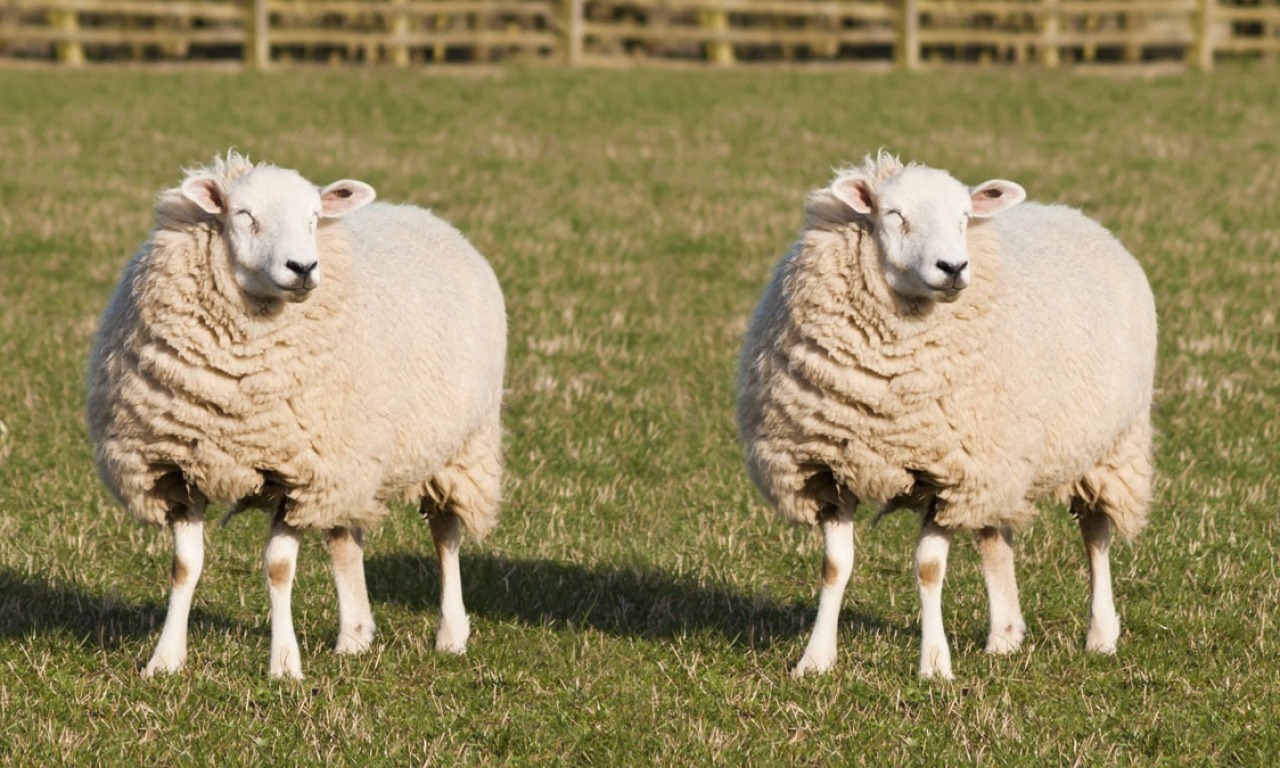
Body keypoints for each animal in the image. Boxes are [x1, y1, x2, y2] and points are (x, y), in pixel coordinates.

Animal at [83, 149, 504, 675]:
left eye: (313, 217)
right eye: (244, 214)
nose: (303, 267)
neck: (237, 391)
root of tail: (424, 214)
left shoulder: (297, 474)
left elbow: (279, 569)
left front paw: (284, 665)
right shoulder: (177, 469)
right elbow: (184, 568)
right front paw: (165, 659)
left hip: (459, 446)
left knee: (445, 533)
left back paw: (451, 633)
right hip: (350, 455)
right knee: (345, 537)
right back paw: (355, 636)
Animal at [737, 149, 1157, 675]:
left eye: (963, 216)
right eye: (894, 214)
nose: (954, 267)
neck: (887, 391)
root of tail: (1074, 214)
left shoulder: (947, 474)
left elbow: (929, 569)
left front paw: (935, 665)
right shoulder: (828, 469)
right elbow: (834, 568)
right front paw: (815, 660)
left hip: (1109, 446)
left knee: (1095, 533)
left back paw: (1101, 634)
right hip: (999, 456)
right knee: (995, 537)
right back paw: (1005, 636)